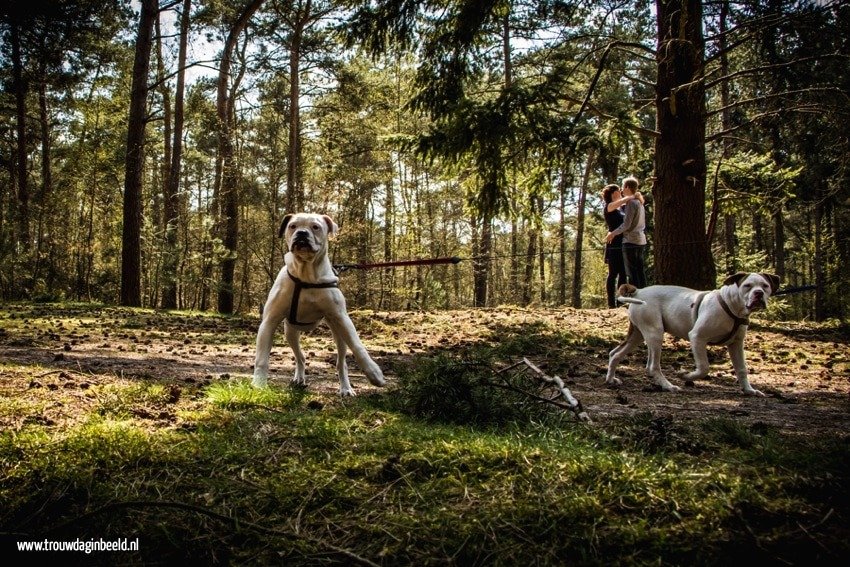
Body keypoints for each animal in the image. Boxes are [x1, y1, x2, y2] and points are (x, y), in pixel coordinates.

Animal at [252, 212, 384, 394]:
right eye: (292, 226)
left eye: (316, 227)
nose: (301, 233)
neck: (306, 276)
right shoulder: (269, 322)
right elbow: (262, 359)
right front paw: (258, 385)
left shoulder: (342, 319)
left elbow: (358, 347)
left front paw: (374, 373)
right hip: (290, 332)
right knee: (300, 357)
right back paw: (299, 378)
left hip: (338, 332)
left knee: (341, 362)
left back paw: (345, 388)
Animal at [608, 272, 780, 398]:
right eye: (747, 286)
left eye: (765, 286)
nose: (758, 293)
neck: (731, 306)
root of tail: (639, 291)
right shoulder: (697, 337)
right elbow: (704, 367)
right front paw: (686, 375)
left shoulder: (736, 344)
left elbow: (742, 369)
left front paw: (749, 390)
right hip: (655, 333)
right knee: (652, 366)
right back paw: (668, 386)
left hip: (637, 335)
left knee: (615, 353)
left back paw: (610, 379)